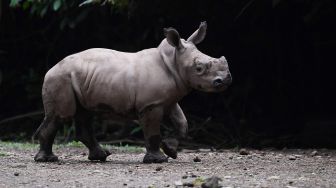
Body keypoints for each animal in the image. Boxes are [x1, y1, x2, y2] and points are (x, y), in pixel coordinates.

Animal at [33, 21, 231, 163]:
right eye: (199, 68)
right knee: (61, 116)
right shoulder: (151, 104)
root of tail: (51, 68)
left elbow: (183, 124)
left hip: (77, 79)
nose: (226, 80)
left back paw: (101, 157)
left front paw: (171, 151)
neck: (173, 61)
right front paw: (158, 160)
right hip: (60, 79)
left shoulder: (168, 100)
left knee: (85, 115)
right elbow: (152, 132)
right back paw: (47, 160)